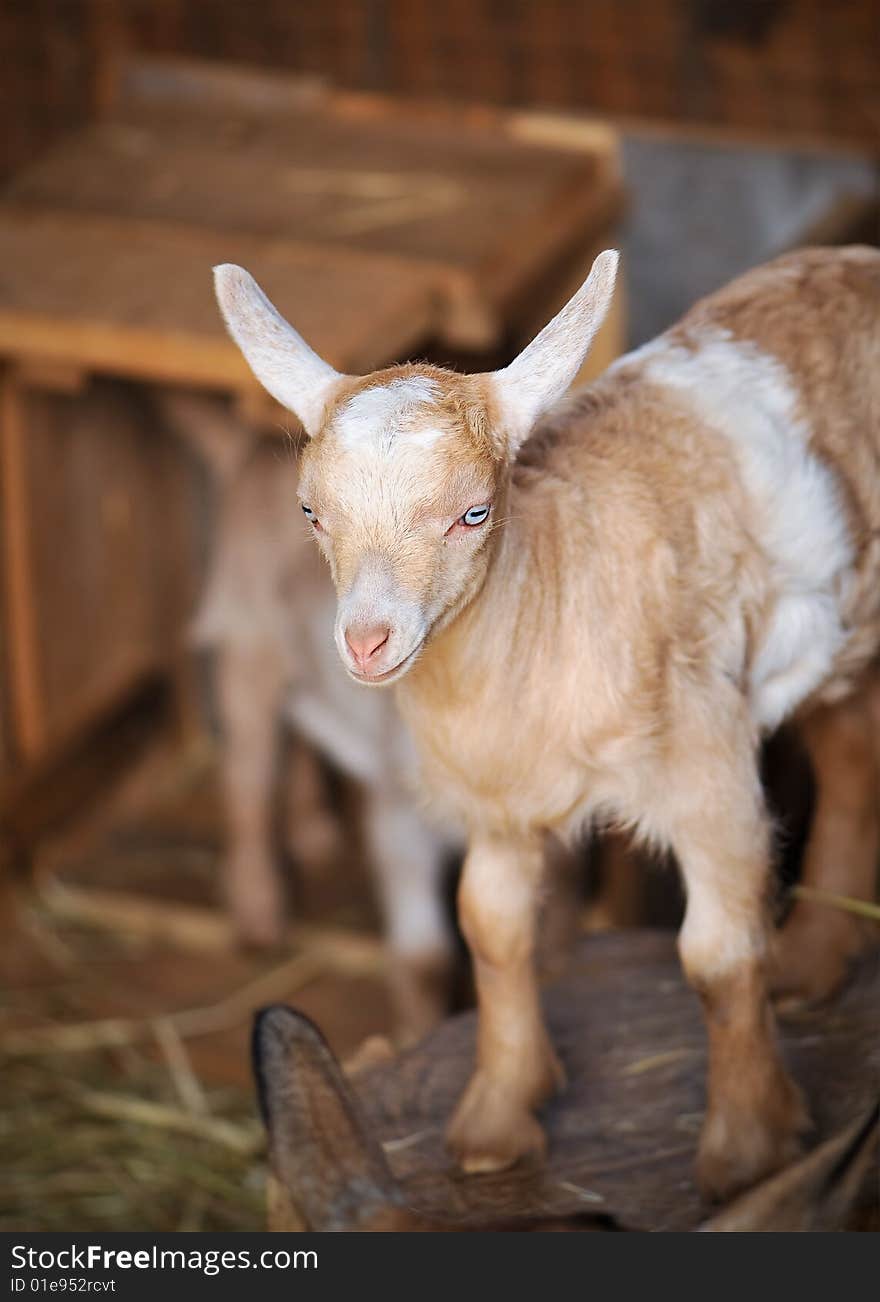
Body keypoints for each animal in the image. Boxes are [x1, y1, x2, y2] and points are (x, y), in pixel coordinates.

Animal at [214, 246, 879, 1197]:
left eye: (474, 512)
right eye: (311, 513)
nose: (368, 642)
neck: (554, 588)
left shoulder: (708, 775)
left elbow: (716, 959)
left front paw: (746, 1154)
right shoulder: (497, 796)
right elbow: (490, 929)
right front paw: (497, 1122)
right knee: (853, 750)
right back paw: (816, 962)